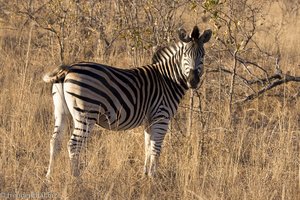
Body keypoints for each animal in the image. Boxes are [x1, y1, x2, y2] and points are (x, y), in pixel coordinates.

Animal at [44, 25, 212, 178]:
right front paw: (154, 178)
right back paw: (76, 179)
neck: (168, 80)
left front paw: (145, 175)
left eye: (203, 55)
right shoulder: (162, 117)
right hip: (86, 114)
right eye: (185, 56)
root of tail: (68, 69)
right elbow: (156, 148)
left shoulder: (149, 120)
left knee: (55, 141)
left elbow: (147, 146)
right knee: (73, 145)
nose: (193, 81)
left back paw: (49, 177)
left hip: (61, 112)